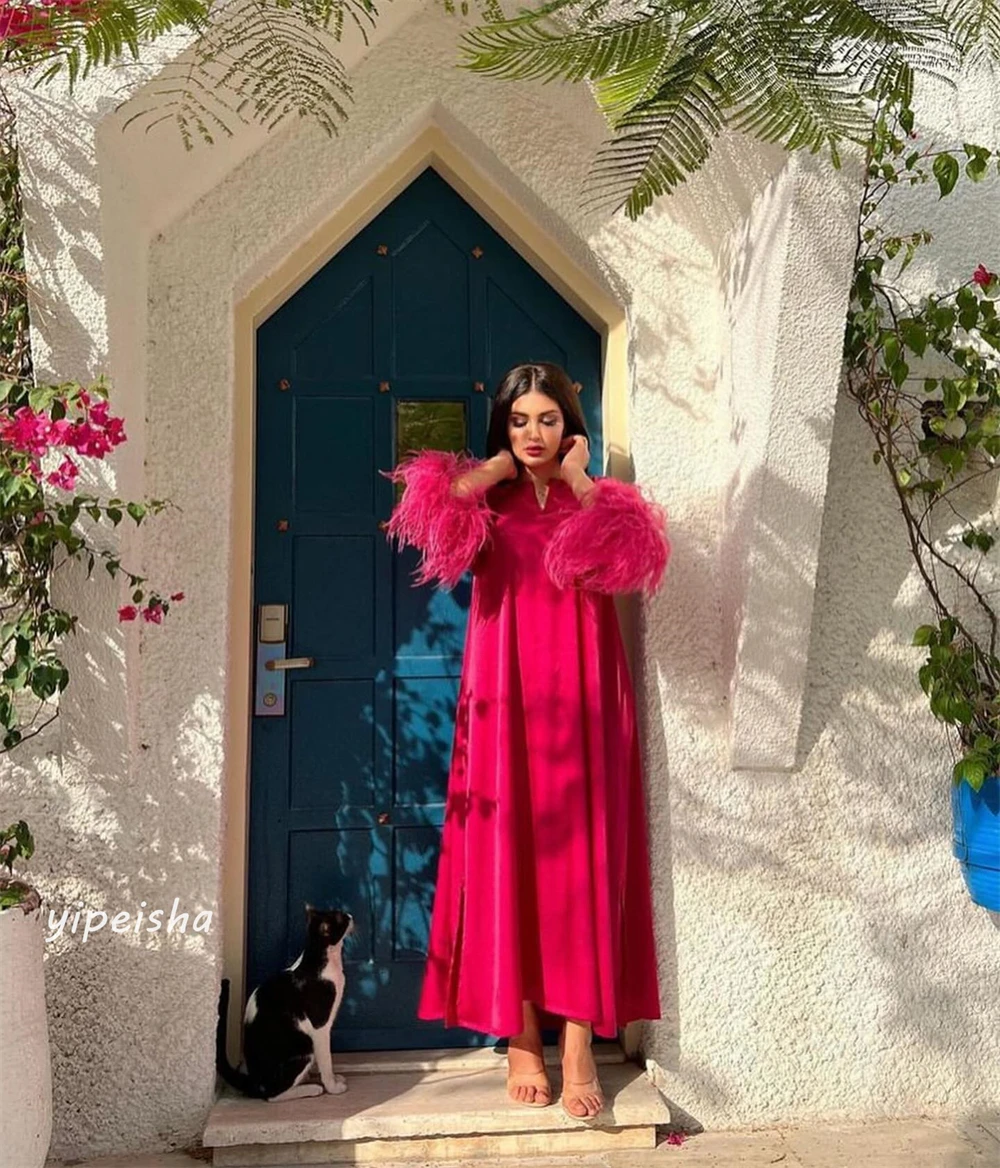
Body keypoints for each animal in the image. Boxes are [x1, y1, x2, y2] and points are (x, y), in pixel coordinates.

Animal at [216, 901, 355, 1102]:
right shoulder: (320, 1026)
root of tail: (253, 1080)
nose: (351, 915)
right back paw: (311, 1088)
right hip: (305, 1045)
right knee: (272, 1094)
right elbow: (326, 1058)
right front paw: (332, 1086)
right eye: (341, 917)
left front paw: (332, 1078)